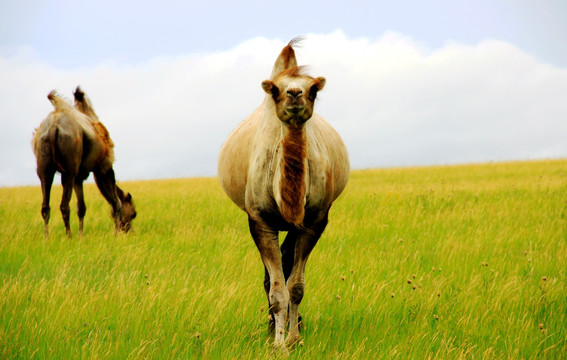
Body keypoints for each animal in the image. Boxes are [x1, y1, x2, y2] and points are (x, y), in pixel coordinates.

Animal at [32, 86, 136, 239]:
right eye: (134, 214)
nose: (128, 230)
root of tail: (53, 127)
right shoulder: (104, 166)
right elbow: (116, 202)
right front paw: (115, 233)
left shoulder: (79, 177)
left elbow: (81, 207)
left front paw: (81, 235)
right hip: (69, 170)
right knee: (64, 205)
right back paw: (69, 236)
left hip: (44, 168)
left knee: (45, 206)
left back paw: (47, 237)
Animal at [219, 37, 348, 348]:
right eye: (275, 90)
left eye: (313, 88)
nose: (294, 93)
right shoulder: (260, 220)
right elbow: (277, 290)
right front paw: (278, 343)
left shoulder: (313, 221)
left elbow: (296, 285)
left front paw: (294, 338)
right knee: (271, 277)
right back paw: (271, 327)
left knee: (287, 266)